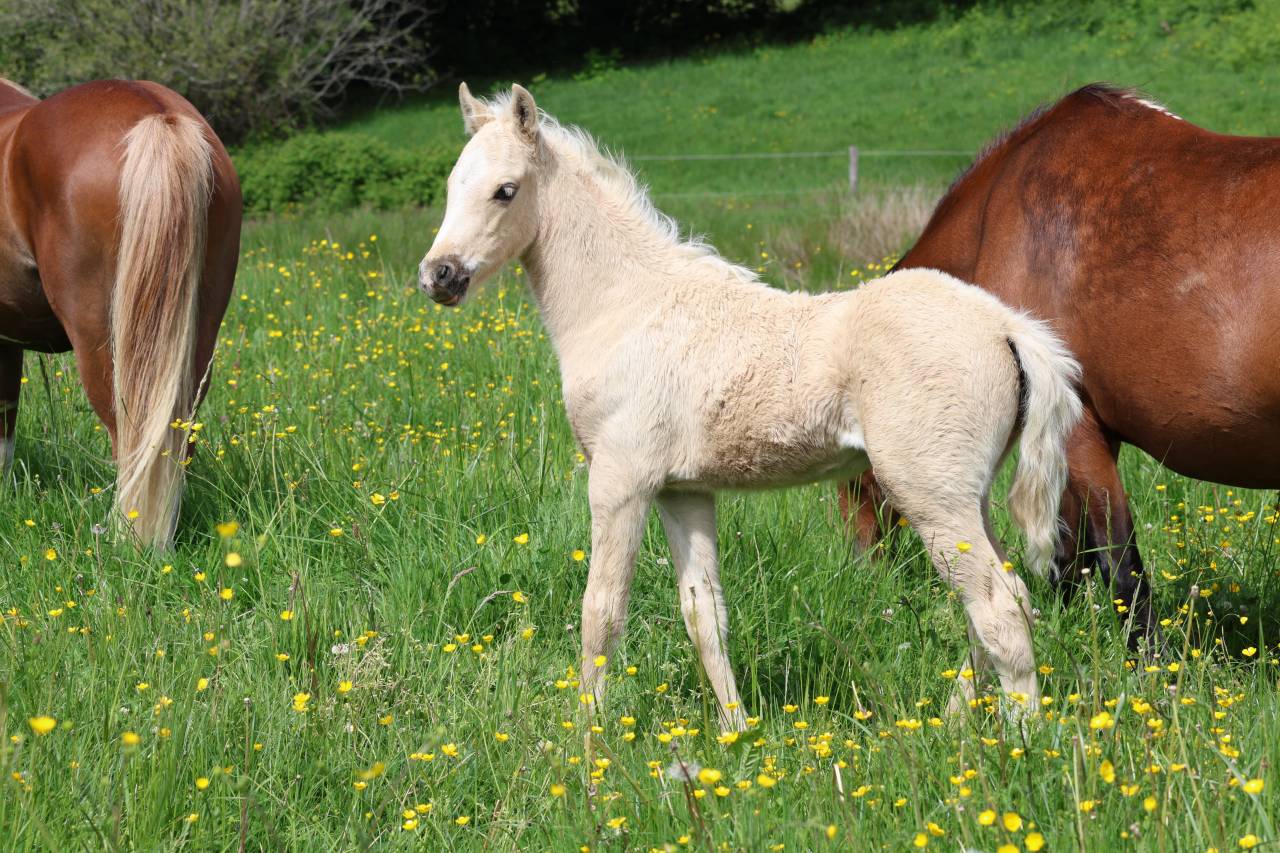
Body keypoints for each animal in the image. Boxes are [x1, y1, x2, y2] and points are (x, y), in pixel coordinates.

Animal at [417, 83, 1082, 726]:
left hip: (931, 496)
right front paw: (736, 732)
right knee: (1003, 604)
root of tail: (1006, 326)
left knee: (998, 609)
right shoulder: (683, 491)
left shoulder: (620, 480)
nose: (438, 276)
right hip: (965, 497)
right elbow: (704, 615)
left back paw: (1021, 745)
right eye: (452, 185)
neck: (628, 305)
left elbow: (600, 614)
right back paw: (954, 726)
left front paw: (589, 742)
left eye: (506, 190)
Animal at [842, 83, 1280, 651]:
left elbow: (1119, 563)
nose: (860, 572)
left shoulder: (1079, 429)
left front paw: (1149, 660)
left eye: (853, 469)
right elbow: (1072, 557)